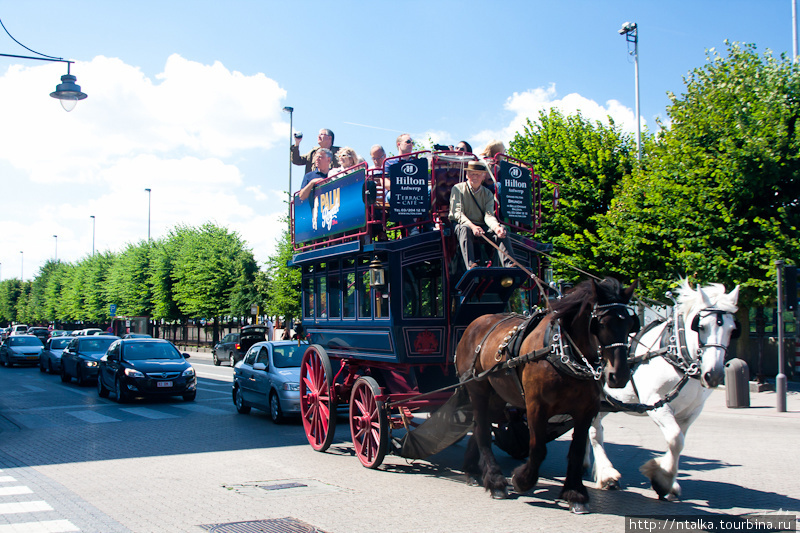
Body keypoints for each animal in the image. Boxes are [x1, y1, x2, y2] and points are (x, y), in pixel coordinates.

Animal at [456, 276, 636, 512]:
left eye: (630, 324)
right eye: (602, 323)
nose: (620, 375)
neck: (561, 351)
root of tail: (476, 323)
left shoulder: (586, 409)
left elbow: (577, 449)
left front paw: (575, 494)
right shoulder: (536, 406)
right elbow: (538, 448)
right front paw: (521, 480)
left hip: (499, 396)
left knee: (480, 425)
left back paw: (473, 470)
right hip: (478, 390)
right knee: (483, 430)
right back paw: (495, 481)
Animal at [584, 278, 740, 498]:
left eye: (732, 329)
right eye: (700, 326)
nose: (714, 375)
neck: (675, 354)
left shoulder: (691, 411)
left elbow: (679, 440)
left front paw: (667, 479)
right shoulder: (656, 403)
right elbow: (675, 439)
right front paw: (663, 479)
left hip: (608, 402)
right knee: (594, 432)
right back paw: (607, 474)